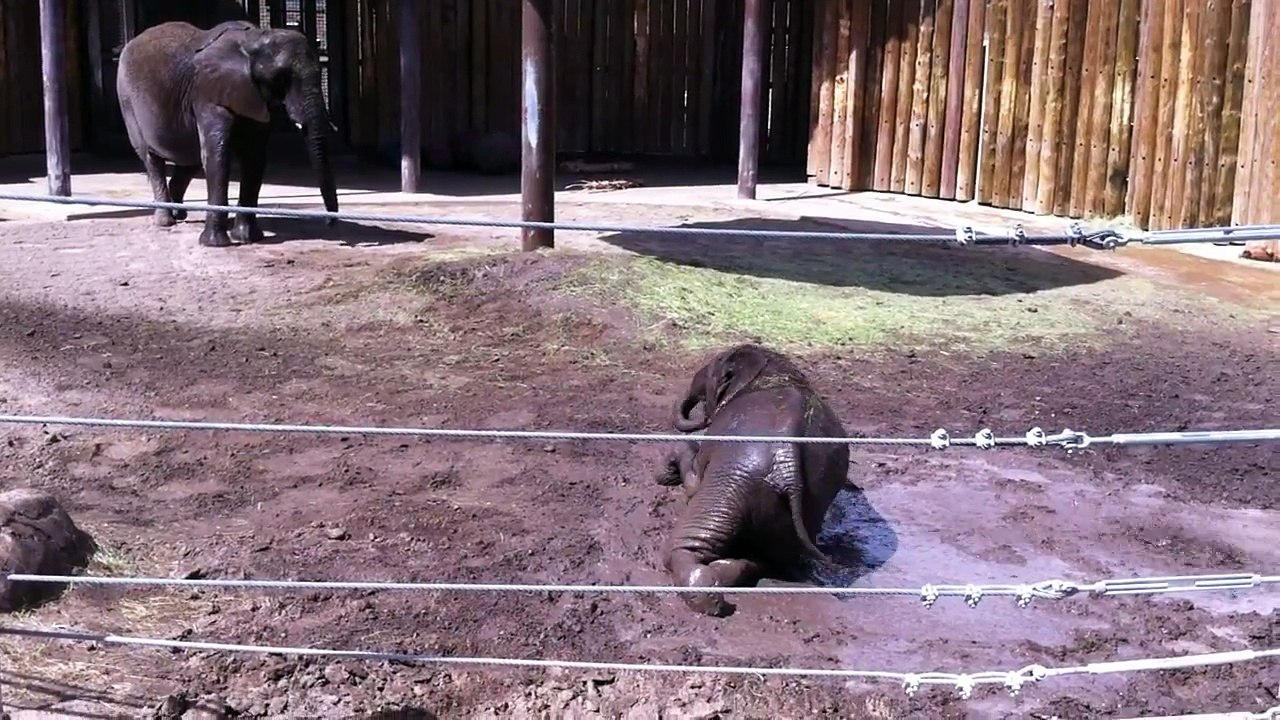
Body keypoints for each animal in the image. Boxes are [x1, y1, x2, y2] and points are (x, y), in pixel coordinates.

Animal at [116, 20, 339, 248]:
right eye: (281, 78)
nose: (330, 223)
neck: (253, 39)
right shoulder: (208, 94)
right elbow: (217, 157)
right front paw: (215, 243)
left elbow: (254, 158)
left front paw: (248, 238)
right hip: (127, 100)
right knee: (152, 159)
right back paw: (165, 221)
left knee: (190, 160)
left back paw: (179, 214)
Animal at [654, 343, 850, 617]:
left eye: (717, 364)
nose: (704, 417)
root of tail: (788, 467)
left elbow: (693, 483)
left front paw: (665, 473)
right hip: (805, 504)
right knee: (766, 559)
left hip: (732, 479)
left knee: (682, 547)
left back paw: (710, 596)